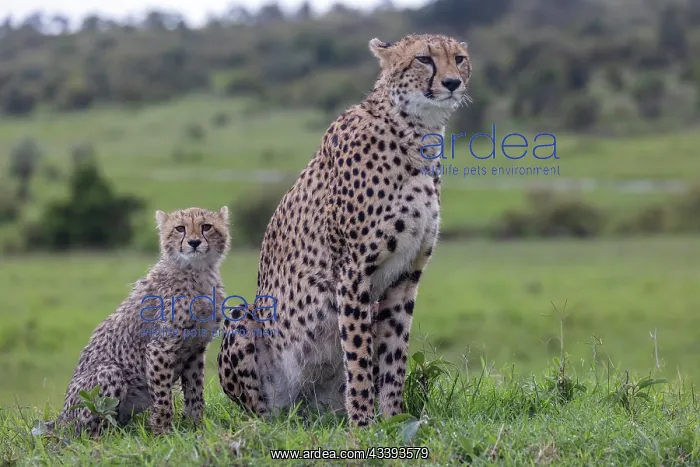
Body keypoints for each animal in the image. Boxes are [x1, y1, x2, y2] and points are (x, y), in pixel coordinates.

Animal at [54, 206, 231, 437]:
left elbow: (195, 393)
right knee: (91, 430)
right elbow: (163, 398)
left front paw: (197, 428)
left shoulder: (195, 350)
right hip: (108, 374)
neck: (197, 272)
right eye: (180, 228)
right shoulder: (159, 348)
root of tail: (60, 419)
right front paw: (163, 434)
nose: (193, 242)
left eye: (206, 227)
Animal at [218, 33, 472, 426]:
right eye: (424, 59)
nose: (452, 82)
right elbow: (359, 354)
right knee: (259, 410)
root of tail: (300, 408)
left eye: (459, 59)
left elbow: (393, 357)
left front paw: (395, 418)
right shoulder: (353, 272)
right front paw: (364, 423)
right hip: (245, 319)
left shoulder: (406, 277)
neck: (415, 132)